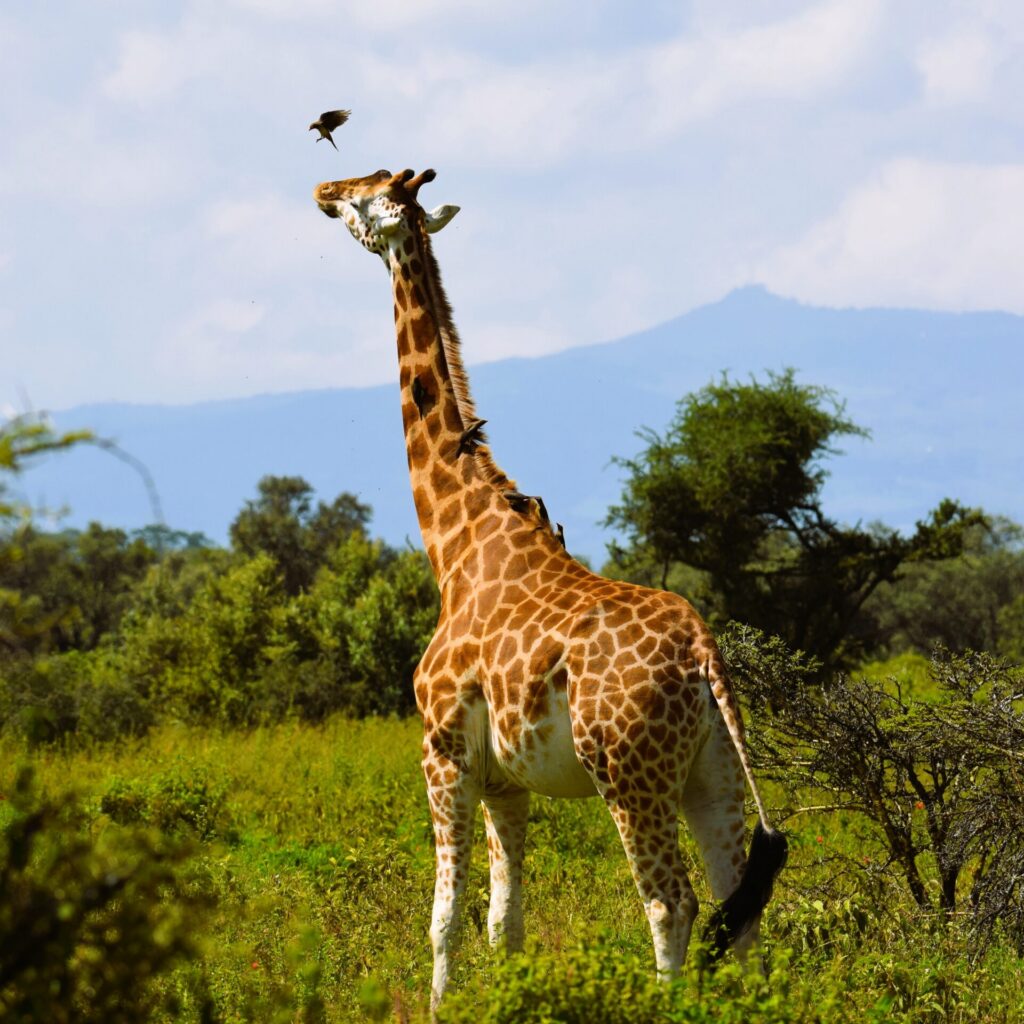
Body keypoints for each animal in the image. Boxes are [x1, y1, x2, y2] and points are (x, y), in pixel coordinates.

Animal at [313, 167, 788, 1010]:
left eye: (366, 194)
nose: (320, 189)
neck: (457, 544)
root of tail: (704, 655)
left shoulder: (443, 752)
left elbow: (444, 918)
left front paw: (440, 1011)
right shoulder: (508, 781)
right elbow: (505, 922)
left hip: (630, 776)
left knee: (671, 903)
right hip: (714, 773)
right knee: (740, 904)